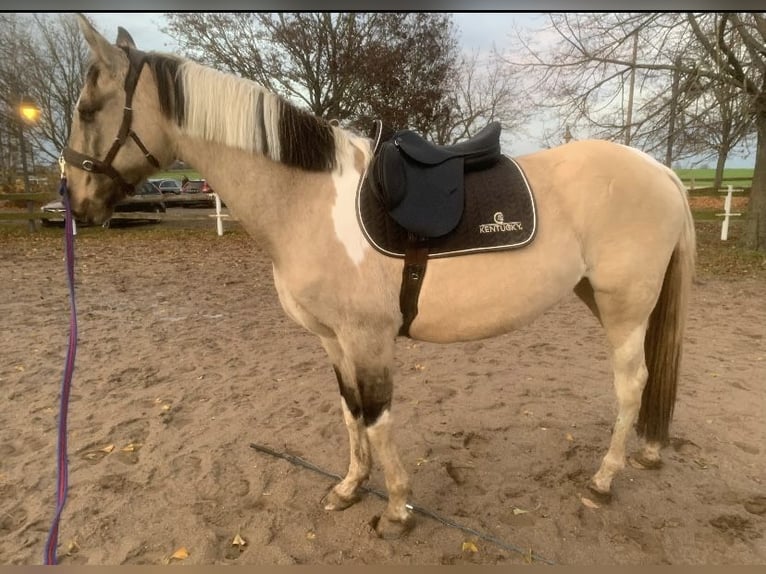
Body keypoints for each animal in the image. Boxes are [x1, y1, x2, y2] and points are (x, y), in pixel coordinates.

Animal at [61, 15, 696, 544]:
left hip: (624, 307)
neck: (308, 202)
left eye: (89, 109)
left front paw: (396, 511)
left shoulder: (369, 339)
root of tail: (661, 170)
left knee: (631, 385)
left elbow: (379, 417)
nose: (75, 201)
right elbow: (350, 412)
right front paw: (348, 487)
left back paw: (604, 480)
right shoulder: (334, 340)